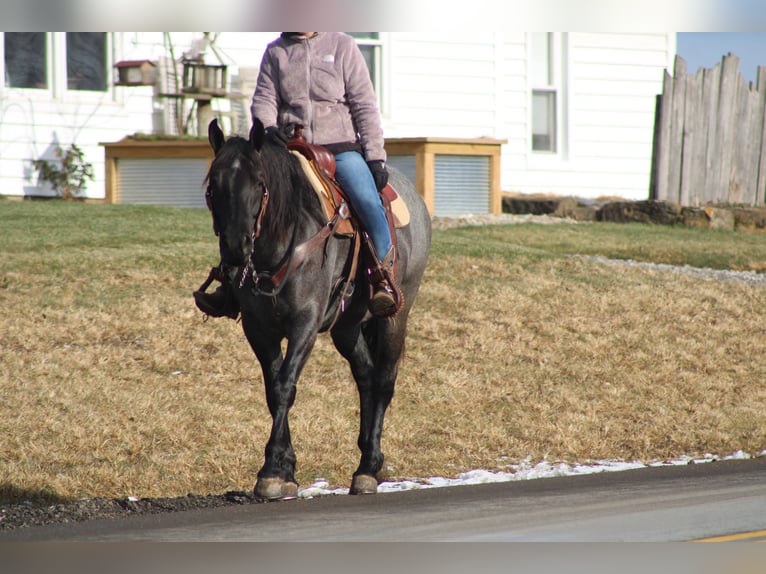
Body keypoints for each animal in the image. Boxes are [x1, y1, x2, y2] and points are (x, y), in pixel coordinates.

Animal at [202, 118, 431, 499]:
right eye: (212, 186)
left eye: (260, 184)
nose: (235, 249)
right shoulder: (258, 329)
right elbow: (273, 389)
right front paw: (286, 470)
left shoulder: (305, 323)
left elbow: (285, 386)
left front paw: (271, 470)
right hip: (347, 326)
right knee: (366, 377)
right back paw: (367, 460)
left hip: (395, 316)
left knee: (384, 381)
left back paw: (368, 468)